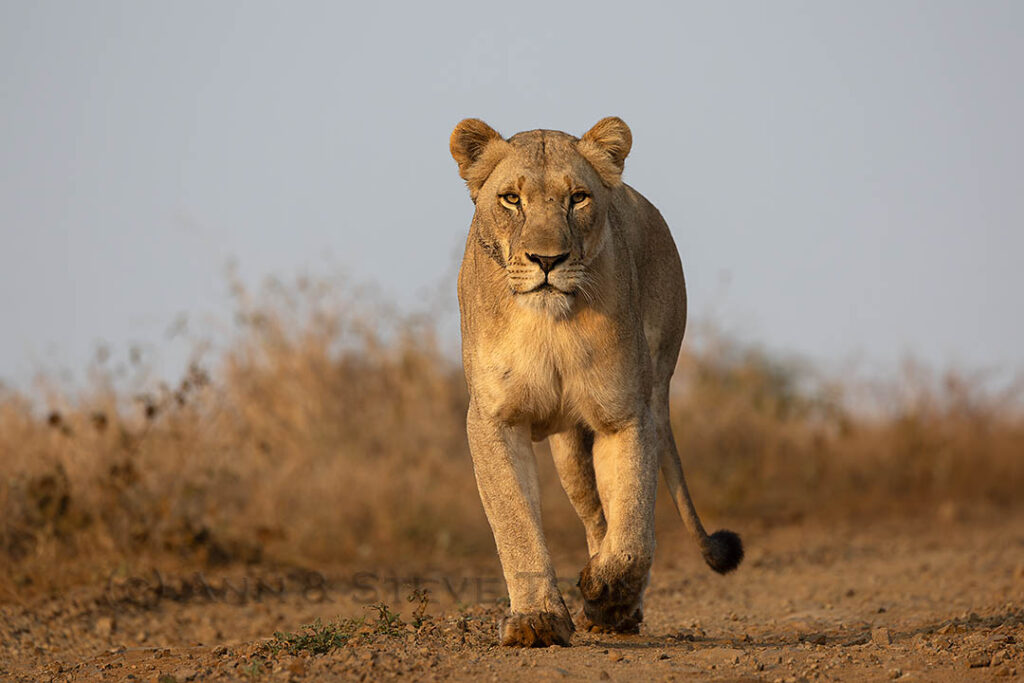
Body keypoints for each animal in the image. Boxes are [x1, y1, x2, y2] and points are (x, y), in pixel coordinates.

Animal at [450, 117, 743, 647]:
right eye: (511, 199)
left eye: (578, 198)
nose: (547, 260)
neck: (548, 324)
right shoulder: (492, 418)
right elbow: (515, 522)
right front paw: (537, 620)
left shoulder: (625, 413)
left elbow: (633, 524)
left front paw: (607, 592)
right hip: (569, 448)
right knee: (592, 514)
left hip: (652, 388)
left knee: (615, 517)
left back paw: (619, 609)